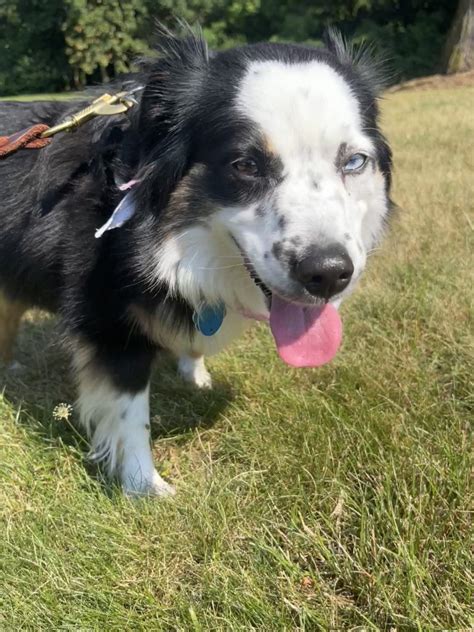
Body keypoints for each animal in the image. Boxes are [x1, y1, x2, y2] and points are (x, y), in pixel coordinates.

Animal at [0, 29, 392, 496]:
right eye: (245, 165)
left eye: (354, 162)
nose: (329, 274)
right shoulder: (105, 318)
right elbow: (130, 410)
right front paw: (145, 487)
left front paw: (196, 375)